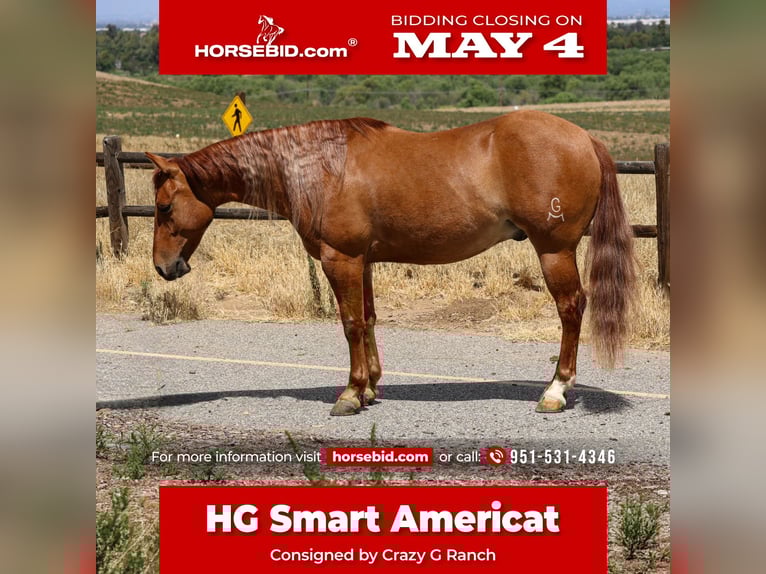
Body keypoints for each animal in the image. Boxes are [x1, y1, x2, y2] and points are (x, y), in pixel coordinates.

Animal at [146, 111, 636, 416]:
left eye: (165, 206)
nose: (163, 267)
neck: (319, 165)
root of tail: (584, 137)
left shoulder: (340, 259)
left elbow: (349, 324)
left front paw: (350, 393)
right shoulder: (361, 261)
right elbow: (368, 319)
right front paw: (370, 387)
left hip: (554, 250)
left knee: (571, 308)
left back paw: (555, 390)